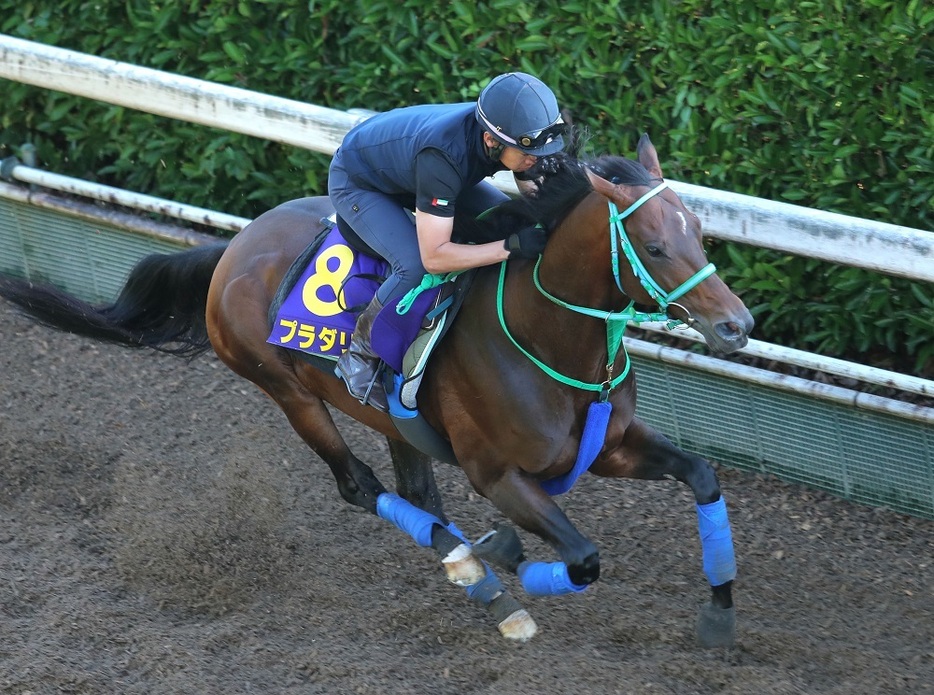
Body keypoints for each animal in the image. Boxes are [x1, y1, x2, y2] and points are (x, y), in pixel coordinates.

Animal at [0, 135, 752, 648]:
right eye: (654, 246)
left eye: (699, 231)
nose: (736, 325)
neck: (546, 340)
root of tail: (234, 248)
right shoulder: (500, 474)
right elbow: (584, 558)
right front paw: (515, 573)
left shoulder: (611, 448)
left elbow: (703, 475)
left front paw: (720, 613)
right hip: (289, 393)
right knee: (361, 487)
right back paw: (483, 579)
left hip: (395, 421)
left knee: (418, 491)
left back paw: (483, 560)